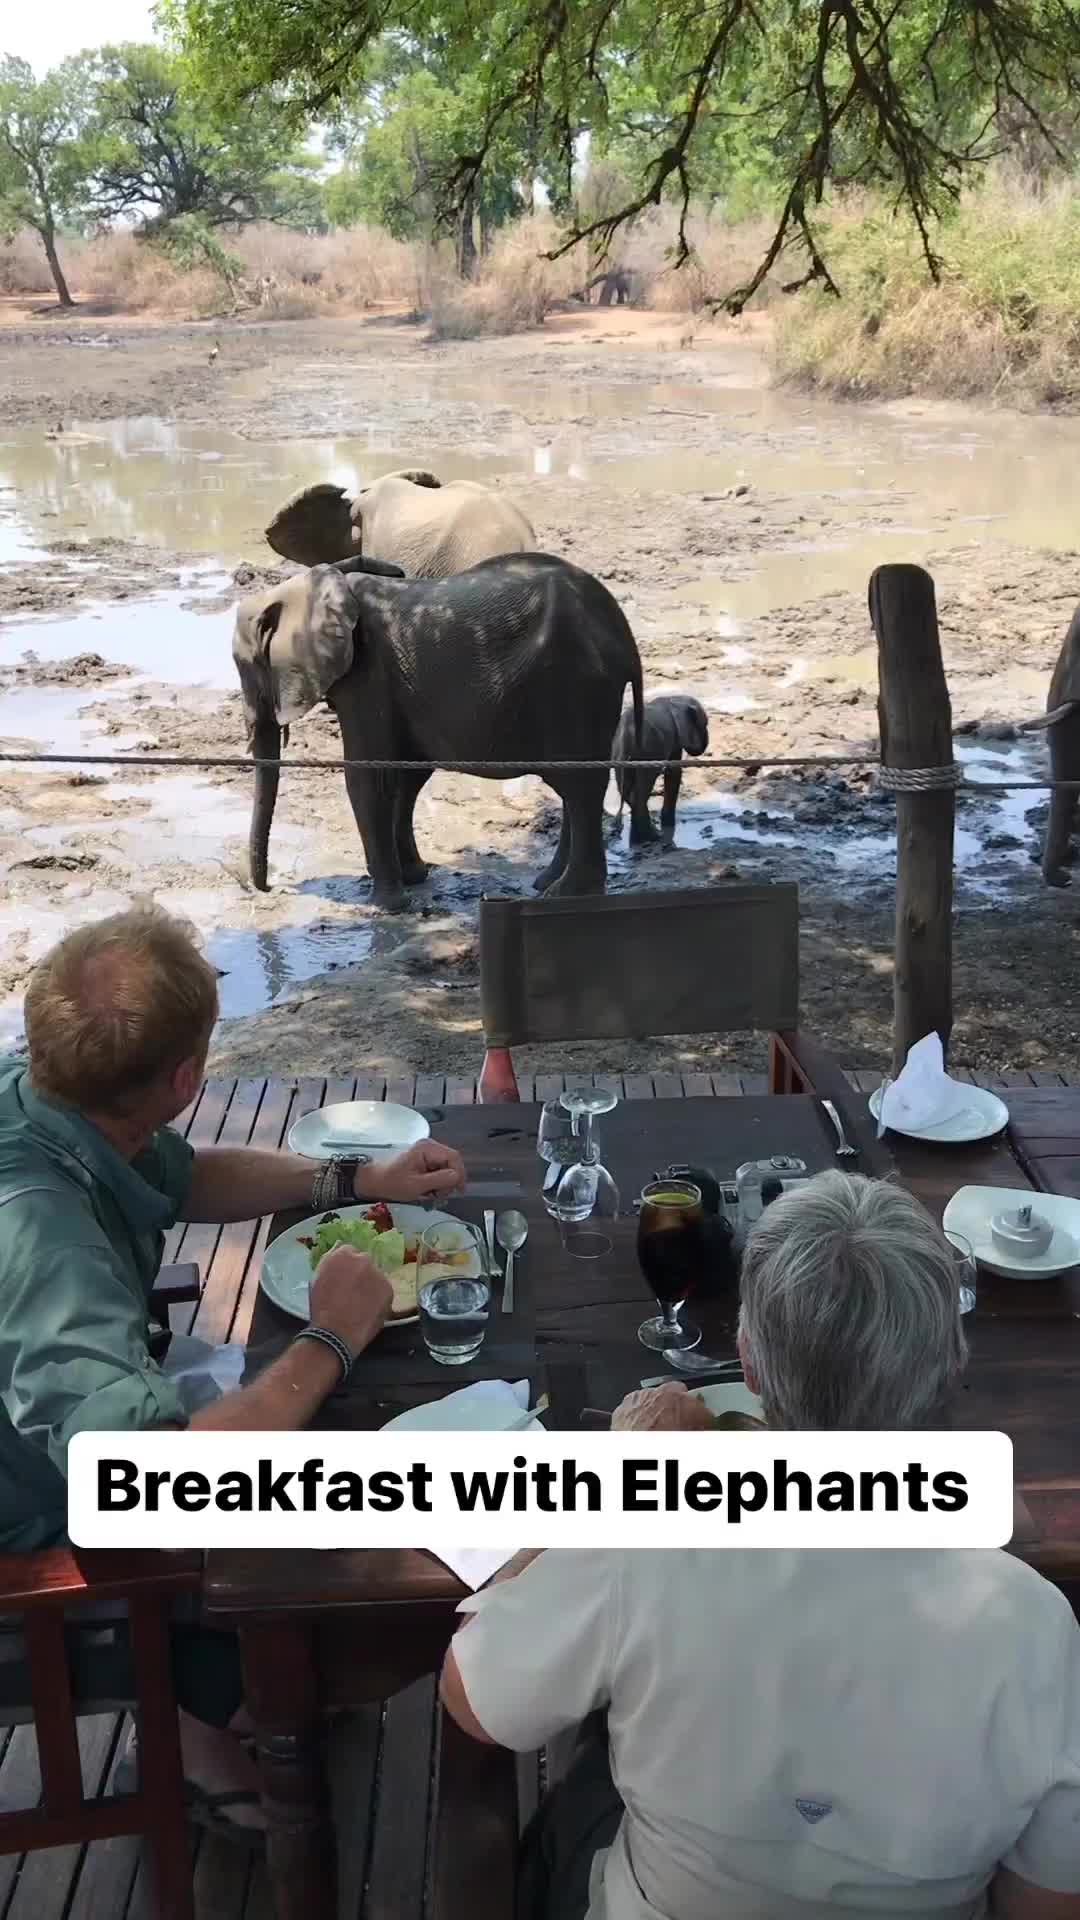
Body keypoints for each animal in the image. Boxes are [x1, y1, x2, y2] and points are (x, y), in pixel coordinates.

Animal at [234, 549, 638, 906]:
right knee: (575, 787)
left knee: (580, 786)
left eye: (246, 668)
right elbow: (407, 774)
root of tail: (623, 633)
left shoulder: (367, 675)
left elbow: (369, 777)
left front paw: (386, 904)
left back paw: (566, 894)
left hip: (577, 685)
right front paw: (414, 878)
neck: (325, 579)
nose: (266, 887)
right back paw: (547, 882)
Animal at [611, 687, 711, 844]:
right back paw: (652, 837)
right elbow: (674, 772)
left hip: (619, 755)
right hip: (647, 752)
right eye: (704, 724)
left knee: (627, 790)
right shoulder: (676, 735)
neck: (674, 699)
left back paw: (641, 839)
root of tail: (627, 735)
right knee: (641, 789)